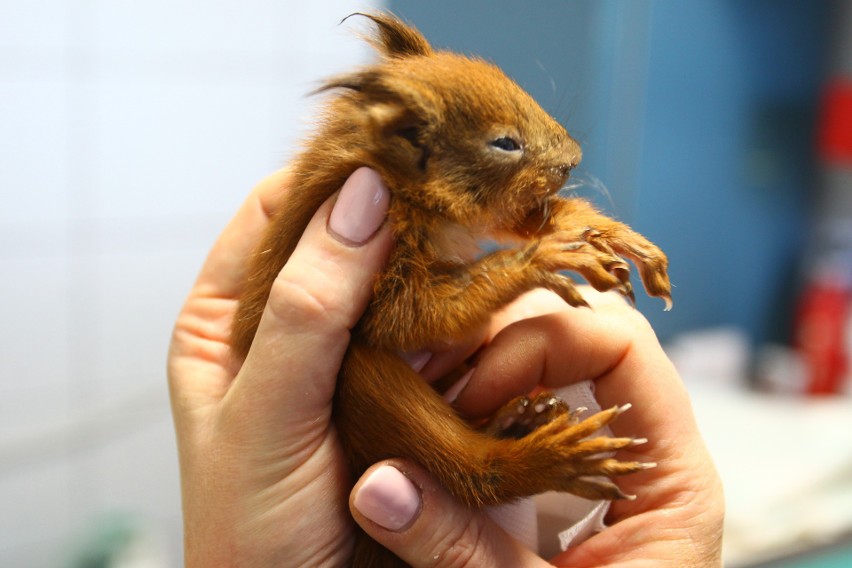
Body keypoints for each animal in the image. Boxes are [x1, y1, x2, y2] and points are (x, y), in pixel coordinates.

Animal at [230, 11, 668, 564]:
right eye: (504, 143)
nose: (572, 158)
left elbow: (533, 219)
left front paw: (610, 237)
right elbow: (403, 317)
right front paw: (542, 259)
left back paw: (519, 419)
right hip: (363, 384)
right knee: (468, 475)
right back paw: (542, 458)